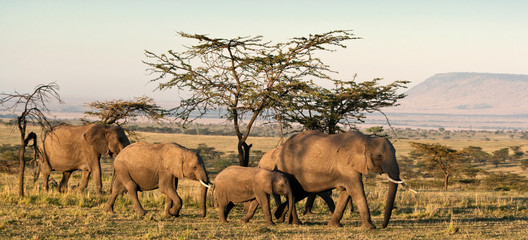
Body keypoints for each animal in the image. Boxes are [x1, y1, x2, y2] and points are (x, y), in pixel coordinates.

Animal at [274, 130, 406, 228]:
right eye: (379, 156)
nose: (383, 226)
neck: (367, 139)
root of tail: (282, 146)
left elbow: (346, 192)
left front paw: (334, 226)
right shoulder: (346, 164)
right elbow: (356, 189)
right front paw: (370, 228)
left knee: (298, 193)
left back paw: (279, 218)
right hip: (287, 167)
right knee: (293, 193)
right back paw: (296, 223)